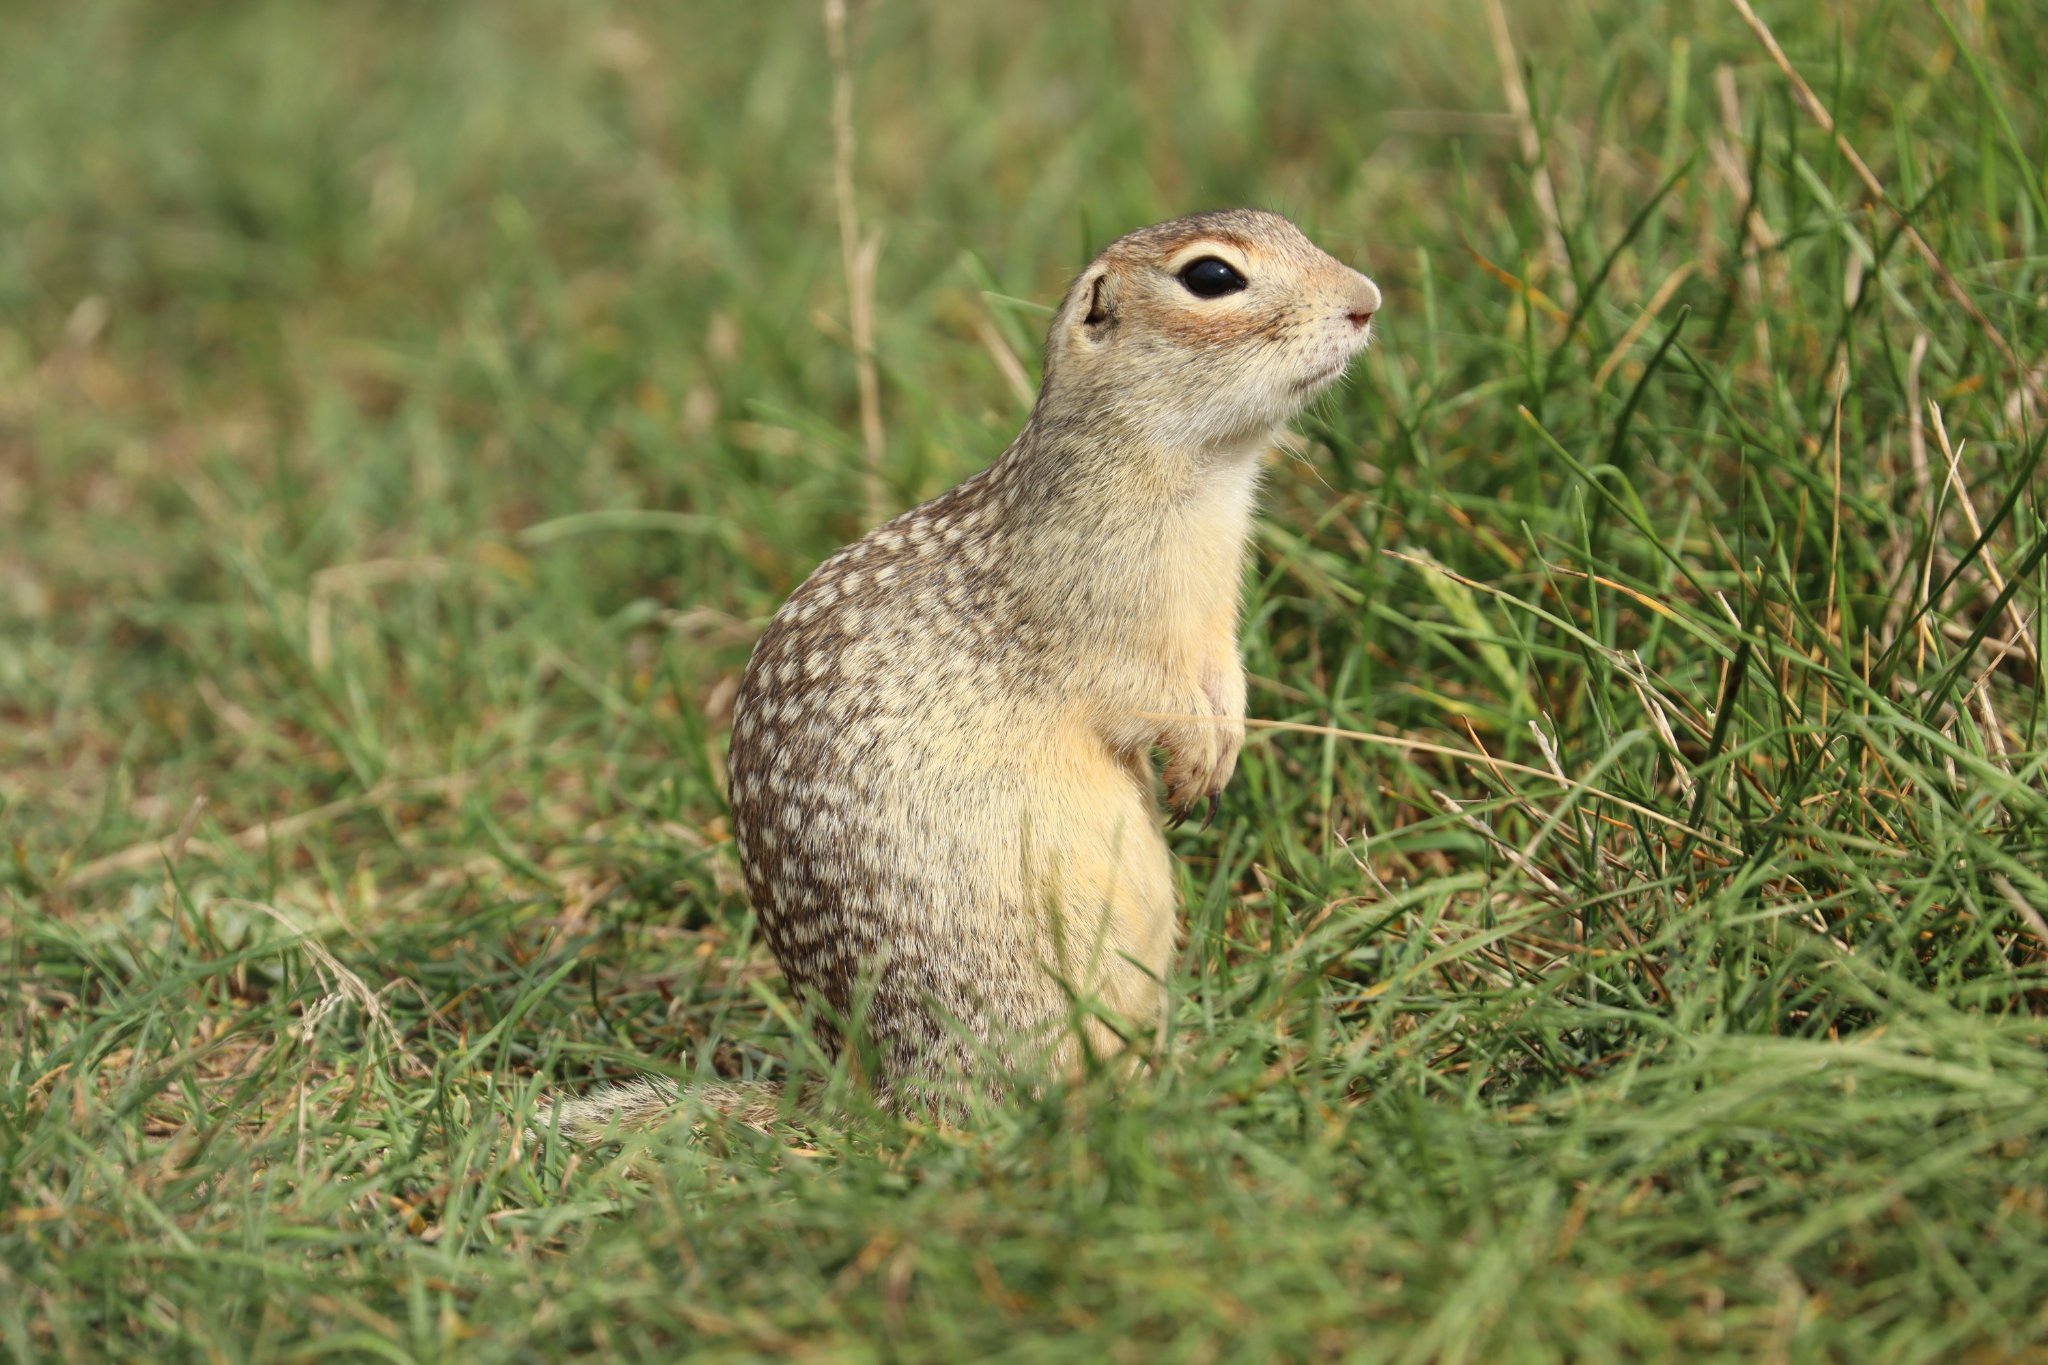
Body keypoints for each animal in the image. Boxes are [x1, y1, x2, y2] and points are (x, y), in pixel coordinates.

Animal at [544, 205, 1376, 1146]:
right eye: (1211, 278)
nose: (1368, 301)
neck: (1205, 479)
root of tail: (875, 1094)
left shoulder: (1211, 623)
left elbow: (1223, 673)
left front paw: (1228, 738)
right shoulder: (1098, 619)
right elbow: (1145, 692)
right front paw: (1201, 758)